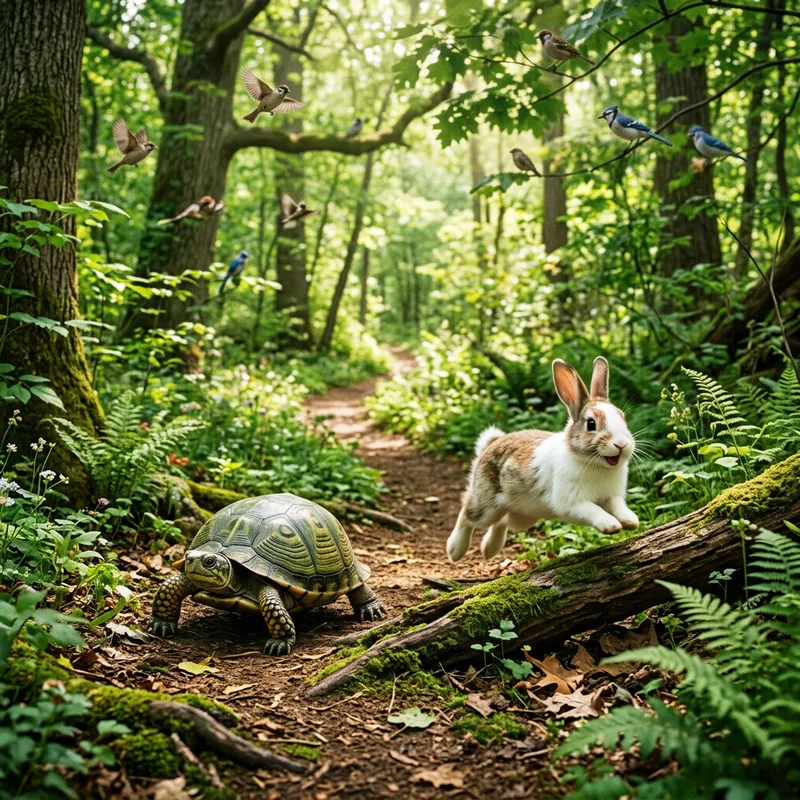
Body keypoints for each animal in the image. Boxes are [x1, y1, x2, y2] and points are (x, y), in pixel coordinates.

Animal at [446, 356, 639, 563]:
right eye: (591, 424)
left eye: (622, 417)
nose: (621, 444)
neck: (593, 463)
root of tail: (489, 446)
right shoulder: (572, 503)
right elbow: (593, 510)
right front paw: (611, 525)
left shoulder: (612, 497)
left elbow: (618, 506)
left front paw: (631, 521)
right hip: (487, 504)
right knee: (467, 513)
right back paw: (455, 550)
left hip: (523, 516)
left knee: (502, 522)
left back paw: (489, 549)